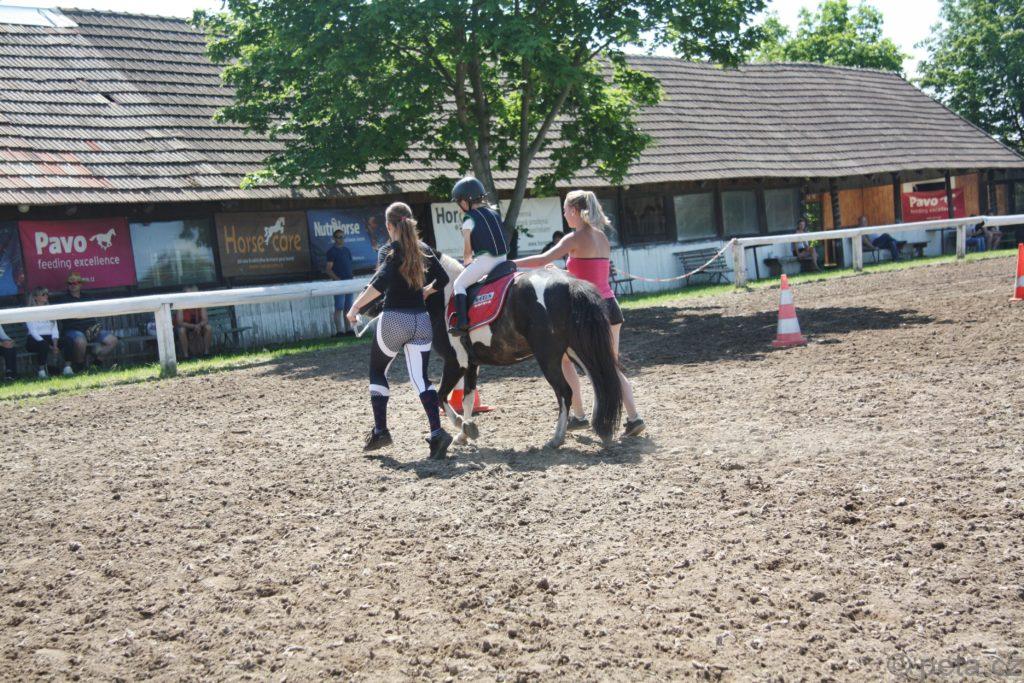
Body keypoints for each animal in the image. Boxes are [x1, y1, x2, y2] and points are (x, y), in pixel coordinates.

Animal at [430, 254, 622, 449]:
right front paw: (465, 432)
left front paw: (460, 424)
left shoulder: (455, 362)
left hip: (548, 358)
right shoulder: (470, 364)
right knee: (600, 383)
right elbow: (467, 400)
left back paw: (557, 438)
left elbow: (440, 396)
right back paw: (602, 430)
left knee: (565, 392)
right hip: (578, 350)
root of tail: (571, 284)